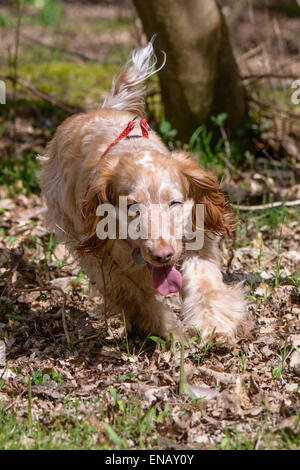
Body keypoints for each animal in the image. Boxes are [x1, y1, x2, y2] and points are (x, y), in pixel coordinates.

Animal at [40, 40, 251, 344]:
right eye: (132, 207)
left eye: (174, 203)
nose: (162, 255)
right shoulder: (104, 262)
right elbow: (136, 297)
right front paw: (171, 331)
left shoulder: (195, 239)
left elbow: (205, 284)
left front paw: (213, 324)